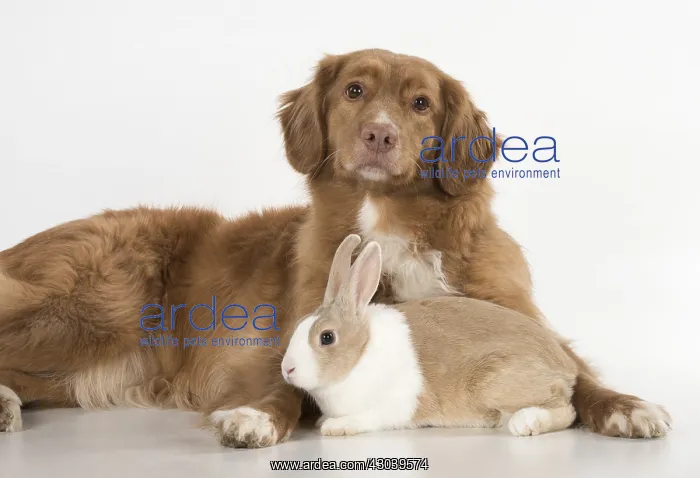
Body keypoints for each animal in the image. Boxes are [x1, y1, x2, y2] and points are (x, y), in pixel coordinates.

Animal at [281, 234, 579, 437]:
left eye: (327, 337)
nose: (287, 369)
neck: (362, 352)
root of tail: (565, 366)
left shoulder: (391, 407)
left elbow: (365, 419)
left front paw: (333, 426)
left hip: (493, 382)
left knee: (567, 410)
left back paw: (525, 423)